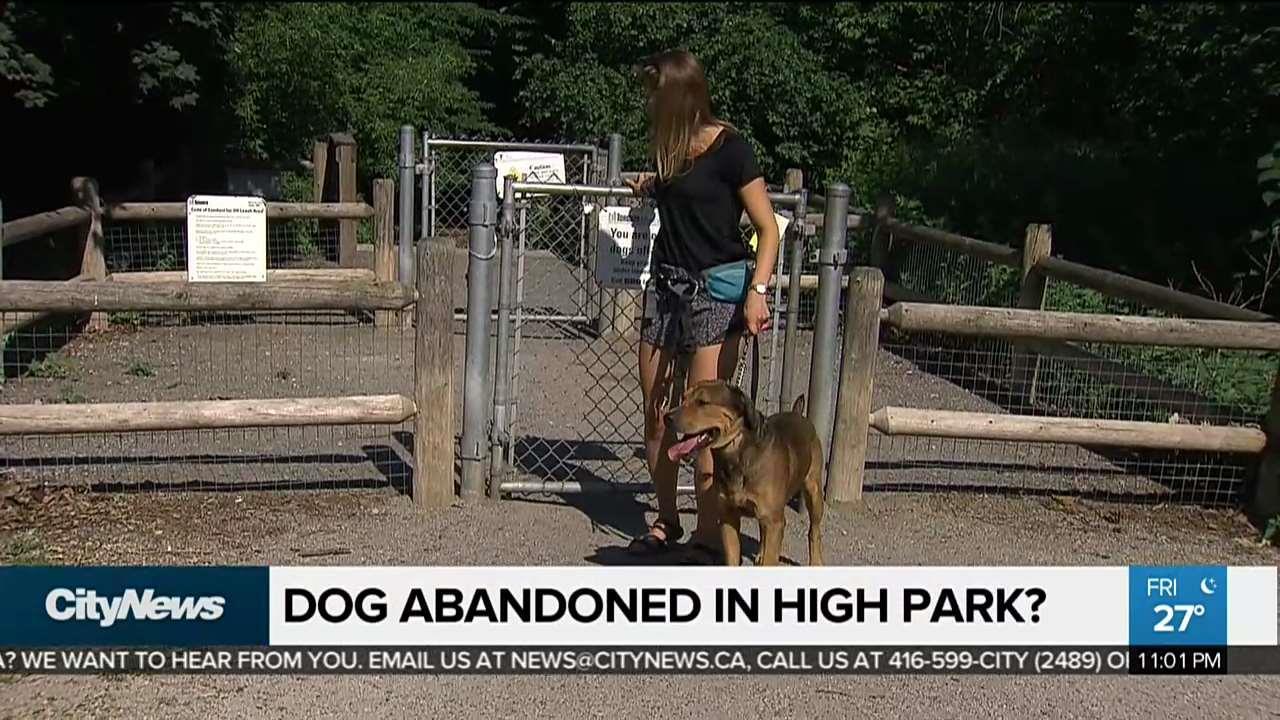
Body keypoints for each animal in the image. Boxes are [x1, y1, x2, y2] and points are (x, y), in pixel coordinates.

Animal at [665, 379, 824, 563]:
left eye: (702, 402)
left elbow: (770, 559)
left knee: (814, 531)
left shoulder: (774, 522)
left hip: (814, 493)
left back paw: (816, 562)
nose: (666, 417)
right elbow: (733, 558)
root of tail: (797, 414)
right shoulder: (728, 516)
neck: (737, 454)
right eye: (683, 398)